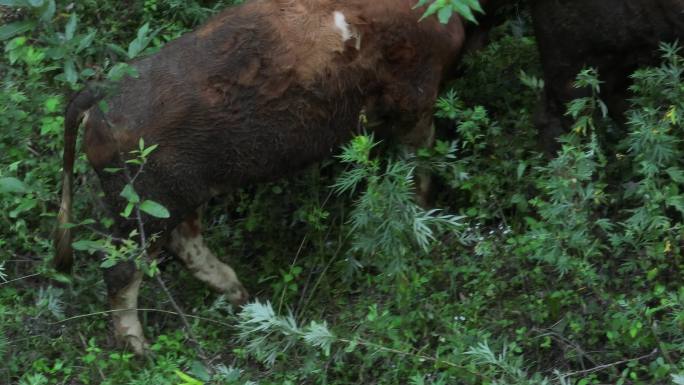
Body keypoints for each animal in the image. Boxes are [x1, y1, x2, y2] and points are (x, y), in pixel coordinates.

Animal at [56, 0, 468, 354]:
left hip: (176, 200)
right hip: (143, 208)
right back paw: (140, 347)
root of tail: (99, 96)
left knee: (185, 244)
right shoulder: (415, 100)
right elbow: (422, 160)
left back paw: (241, 295)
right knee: (122, 269)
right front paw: (426, 213)